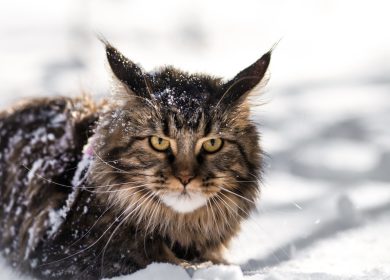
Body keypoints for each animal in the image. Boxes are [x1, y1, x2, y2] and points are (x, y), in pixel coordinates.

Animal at [0, 42, 270, 280]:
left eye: (212, 144)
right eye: (158, 142)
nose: (185, 177)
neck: (178, 229)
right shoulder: (65, 253)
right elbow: (164, 263)